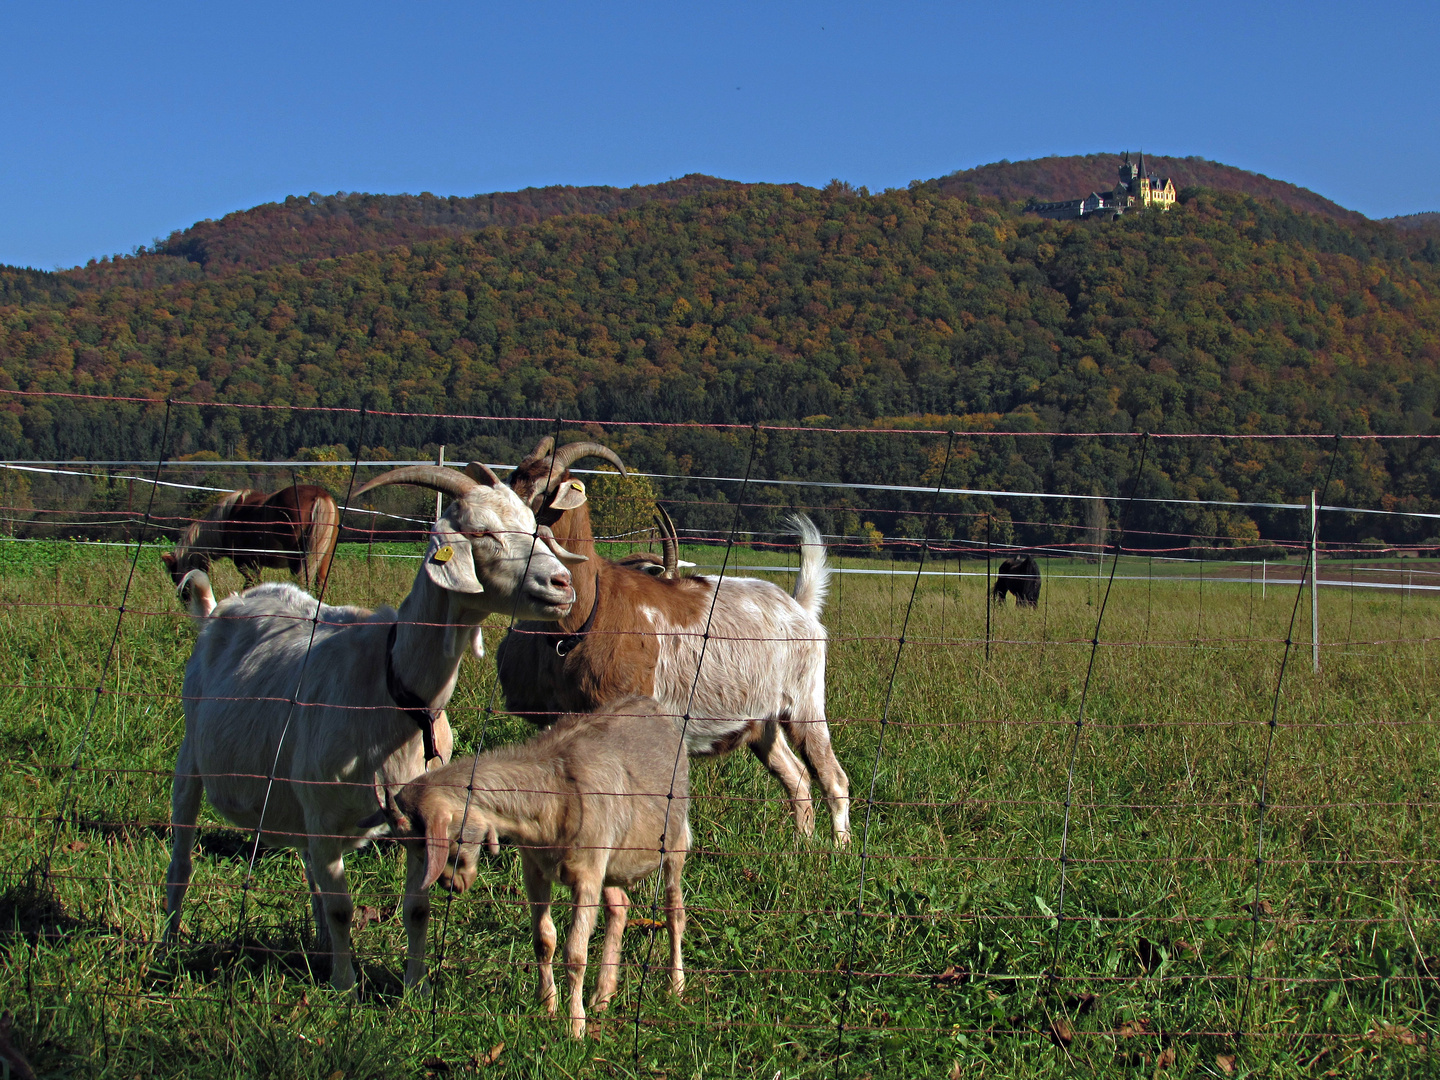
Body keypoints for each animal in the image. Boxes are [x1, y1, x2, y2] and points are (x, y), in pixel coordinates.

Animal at [162, 486, 339, 596]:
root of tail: (319, 496)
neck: (226, 521)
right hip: (324, 558)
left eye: (178, 578)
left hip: (298, 560)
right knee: (320, 584)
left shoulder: (243, 562)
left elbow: (250, 584)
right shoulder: (256, 562)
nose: (185, 603)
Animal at [495, 437, 852, 846]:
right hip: (761, 721)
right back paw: (800, 845)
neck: (593, 608)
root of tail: (799, 606)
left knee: (833, 778)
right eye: (513, 479)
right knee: (797, 777)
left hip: (805, 702)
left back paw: (838, 850)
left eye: (546, 489)